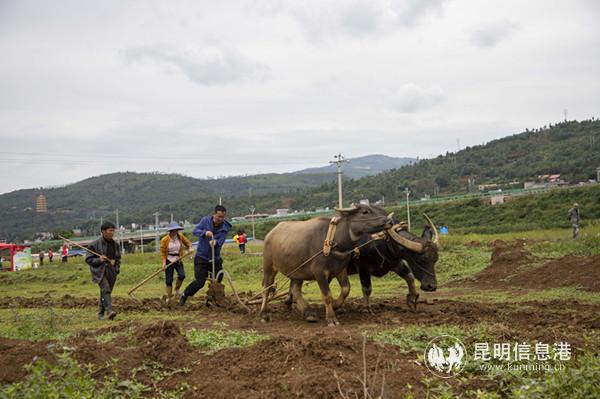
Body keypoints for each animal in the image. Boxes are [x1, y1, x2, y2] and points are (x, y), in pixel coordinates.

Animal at [258, 205, 392, 326]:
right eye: (365, 211)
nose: (389, 221)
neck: (333, 241)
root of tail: (270, 234)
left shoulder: (340, 269)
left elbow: (346, 289)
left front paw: (335, 305)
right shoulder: (319, 272)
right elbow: (327, 295)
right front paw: (331, 319)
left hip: (297, 272)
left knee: (295, 290)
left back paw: (308, 313)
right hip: (269, 267)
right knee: (266, 288)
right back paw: (264, 315)